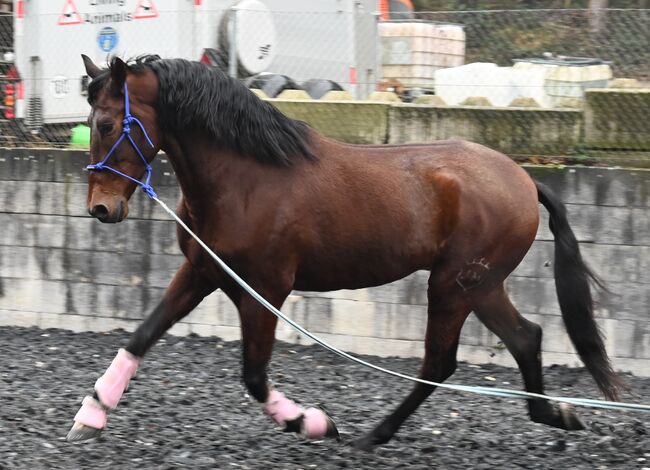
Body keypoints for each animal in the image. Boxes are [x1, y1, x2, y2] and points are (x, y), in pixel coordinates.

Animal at [67, 57, 624, 450]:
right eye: (91, 121)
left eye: (108, 124)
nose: (101, 208)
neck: (245, 178)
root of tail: (526, 180)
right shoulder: (203, 270)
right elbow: (142, 335)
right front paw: (90, 416)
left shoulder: (267, 289)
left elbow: (254, 374)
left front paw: (312, 422)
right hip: (480, 286)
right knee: (526, 338)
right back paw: (556, 414)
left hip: (453, 285)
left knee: (439, 363)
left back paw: (373, 434)